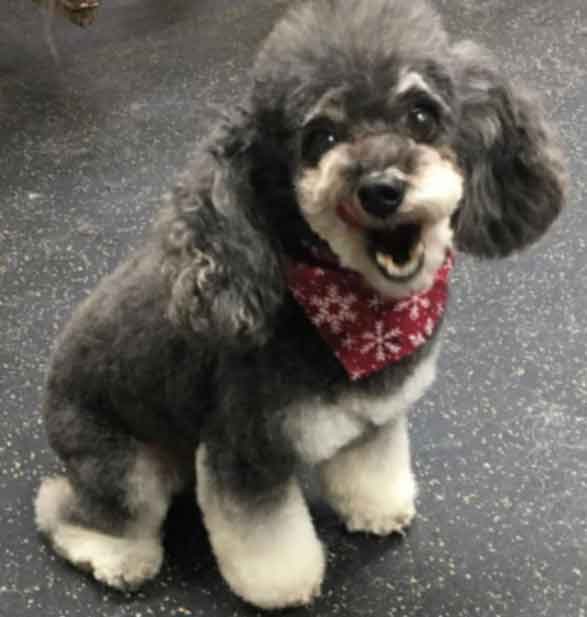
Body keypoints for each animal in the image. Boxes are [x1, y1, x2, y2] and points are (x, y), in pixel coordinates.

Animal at [34, 0, 568, 608]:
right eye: (321, 137)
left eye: (421, 115)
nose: (381, 188)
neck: (360, 318)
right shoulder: (243, 451)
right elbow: (267, 539)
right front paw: (284, 587)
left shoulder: (372, 417)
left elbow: (370, 468)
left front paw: (376, 509)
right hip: (118, 461)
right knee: (71, 508)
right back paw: (117, 557)